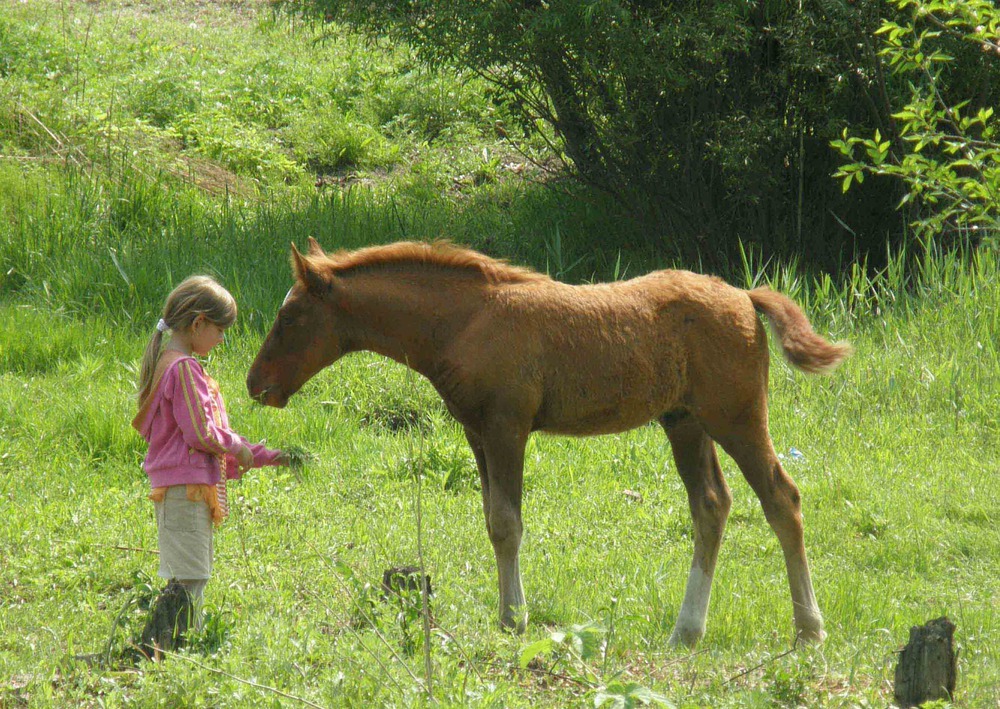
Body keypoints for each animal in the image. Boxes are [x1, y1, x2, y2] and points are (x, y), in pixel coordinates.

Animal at [246, 239, 848, 648]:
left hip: (736, 418)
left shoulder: (506, 426)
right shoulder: (476, 433)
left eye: (289, 315)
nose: (255, 384)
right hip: (684, 422)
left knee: (781, 499)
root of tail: (745, 295)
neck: (463, 322)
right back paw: (686, 631)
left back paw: (809, 629)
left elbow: (507, 523)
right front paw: (505, 613)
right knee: (711, 506)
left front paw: (515, 619)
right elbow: (492, 521)